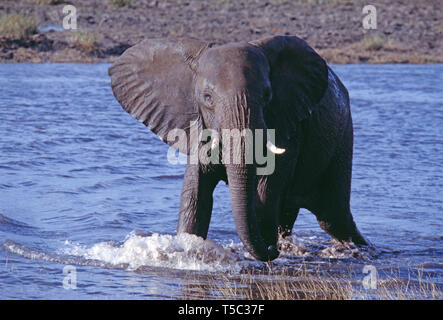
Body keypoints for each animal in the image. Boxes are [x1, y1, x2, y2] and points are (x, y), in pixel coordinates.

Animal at [109, 34, 370, 262]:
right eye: (207, 98)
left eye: (267, 95)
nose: (272, 250)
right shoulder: (198, 124)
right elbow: (195, 194)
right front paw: (188, 248)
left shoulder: (287, 123)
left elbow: (265, 192)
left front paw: (265, 250)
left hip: (343, 137)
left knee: (332, 216)